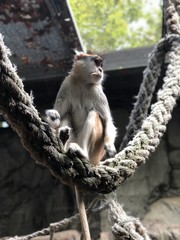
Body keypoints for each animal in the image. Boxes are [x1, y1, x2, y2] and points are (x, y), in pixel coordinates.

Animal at [46, 51, 116, 240]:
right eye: (97, 62)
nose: (100, 70)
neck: (83, 83)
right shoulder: (67, 84)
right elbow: (60, 115)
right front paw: (53, 118)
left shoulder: (98, 92)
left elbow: (107, 121)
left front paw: (110, 146)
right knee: (66, 118)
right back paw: (64, 144)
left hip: (95, 152)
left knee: (94, 114)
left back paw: (80, 152)